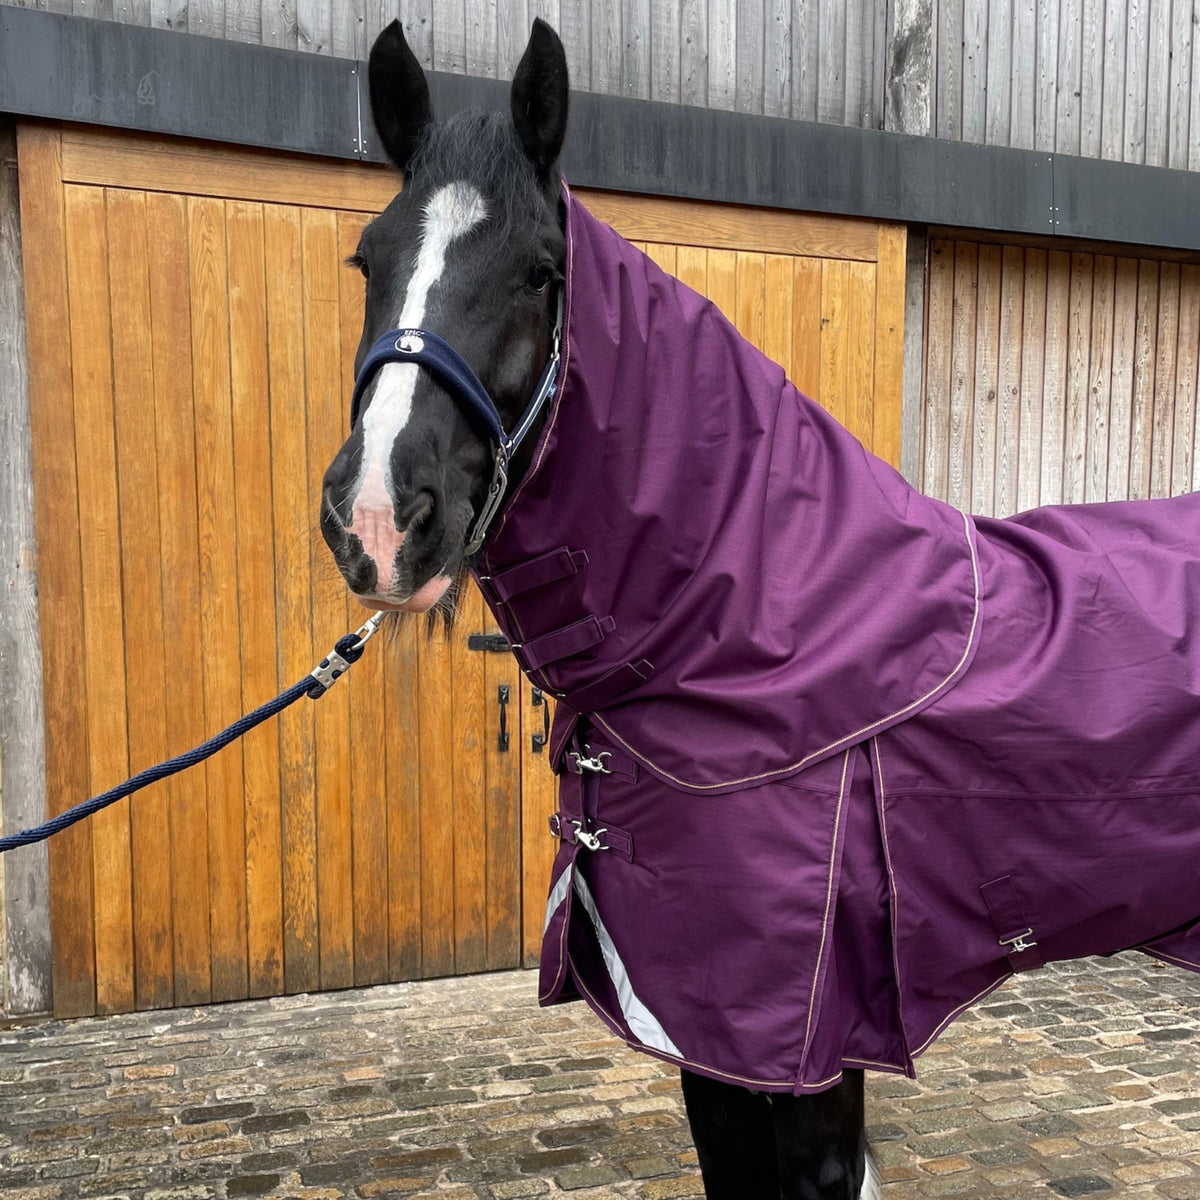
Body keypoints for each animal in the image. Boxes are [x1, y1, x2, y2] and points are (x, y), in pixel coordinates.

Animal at [321, 18, 1200, 1199]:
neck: (763, 632)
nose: (378, 520)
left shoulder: (801, 1044)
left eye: (542, 273)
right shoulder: (707, 1041)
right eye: (368, 259)